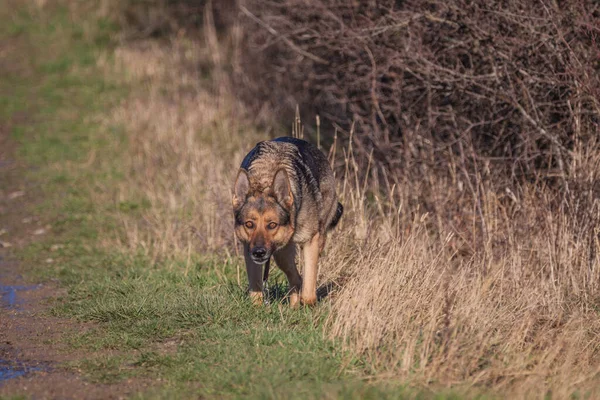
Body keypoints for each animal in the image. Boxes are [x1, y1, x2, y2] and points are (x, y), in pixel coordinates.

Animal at [233, 138, 342, 306]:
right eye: (249, 224)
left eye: (272, 225)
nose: (259, 252)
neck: (266, 179)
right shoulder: (248, 249)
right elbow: (256, 286)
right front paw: (257, 307)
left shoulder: (310, 241)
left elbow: (308, 291)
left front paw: (308, 303)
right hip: (281, 252)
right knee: (295, 277)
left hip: (316, 237)